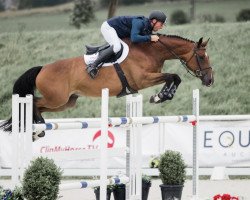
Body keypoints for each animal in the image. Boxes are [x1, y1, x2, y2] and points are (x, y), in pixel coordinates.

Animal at [0, 34, 215, 138]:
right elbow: (174, 76)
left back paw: (39, 125)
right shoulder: (142, 79)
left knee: (39, 104)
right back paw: (39, 127)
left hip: (66, 102)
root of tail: (42, 68)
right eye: (202, 57)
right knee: (34, 101)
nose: (210, 80)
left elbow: (173, 78)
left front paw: (162, 96)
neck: (150, 50)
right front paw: (160, 96)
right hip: (57, 98)